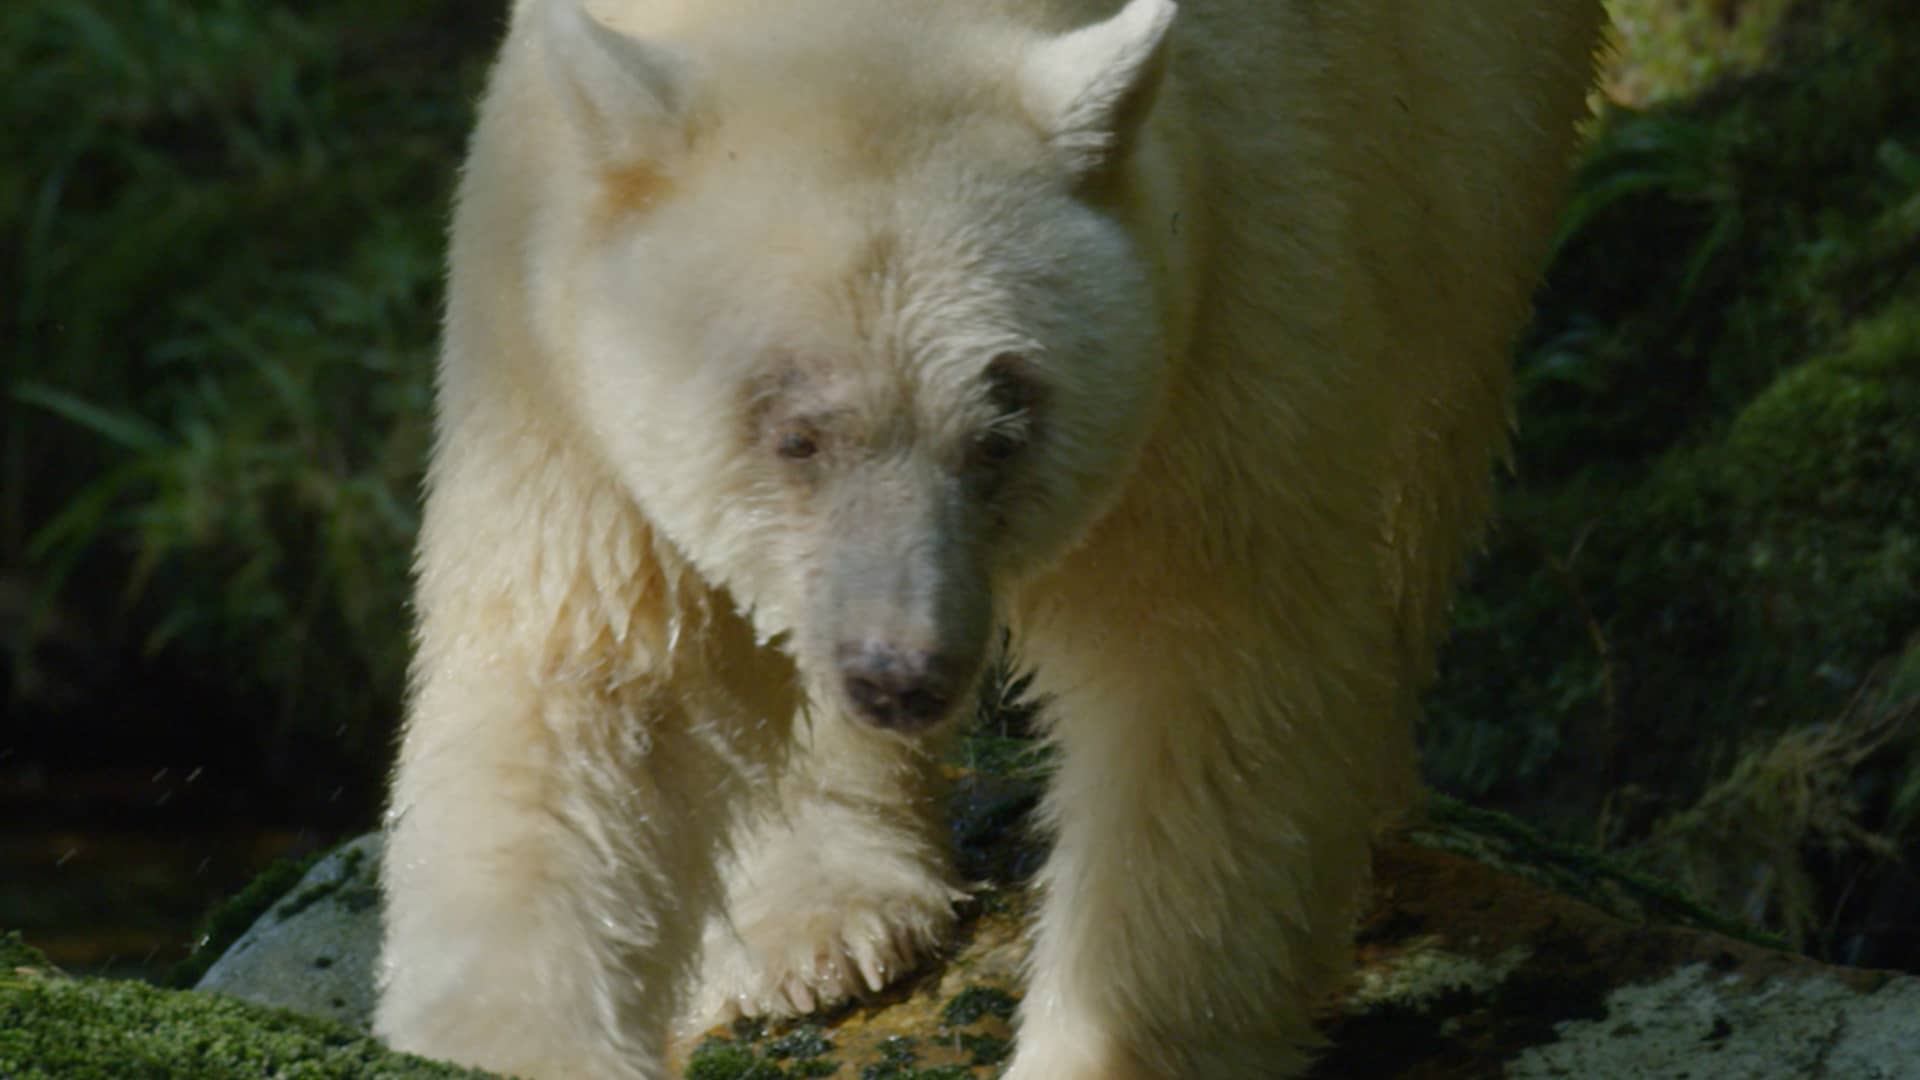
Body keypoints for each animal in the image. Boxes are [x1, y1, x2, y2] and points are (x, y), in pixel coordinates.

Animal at [374, 0, 1602, 1077]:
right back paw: (823, 912)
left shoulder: (1220, 306)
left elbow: (1204, 689)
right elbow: (595, 690)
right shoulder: (543, 343)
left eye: (1003, 431)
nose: (900, 672)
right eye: (794, 433)